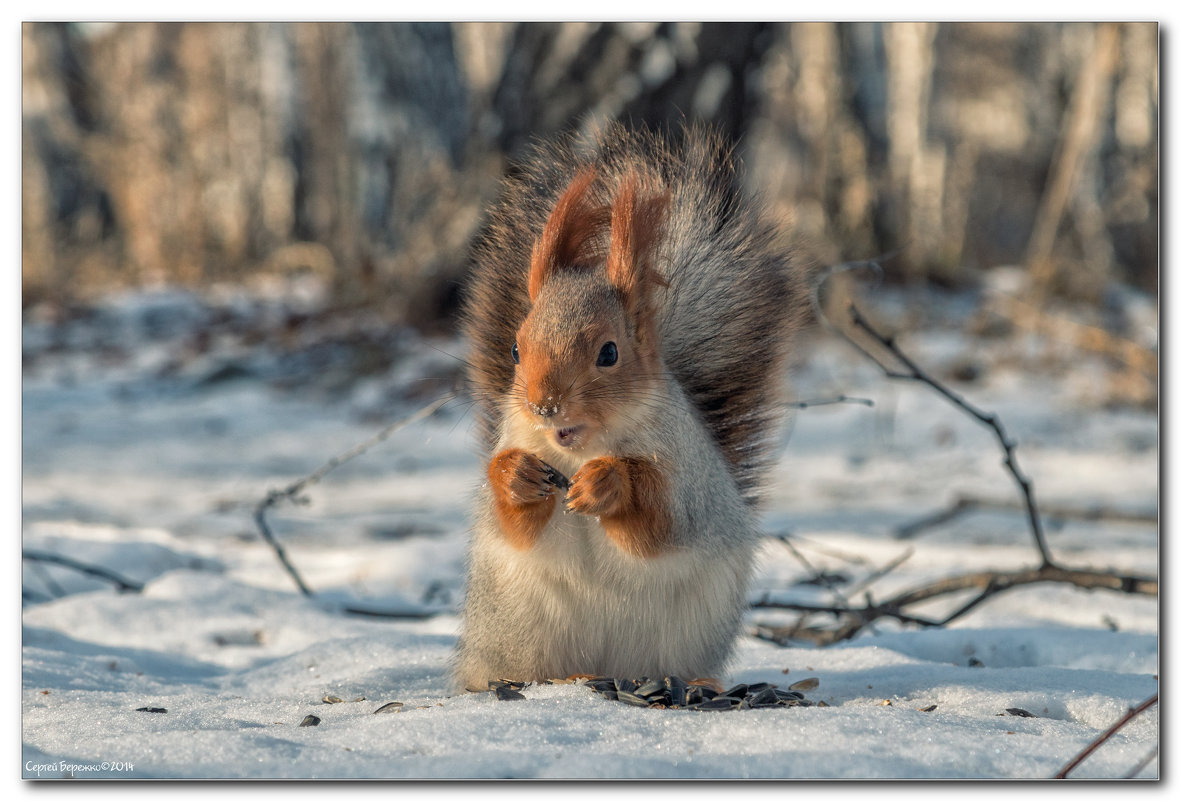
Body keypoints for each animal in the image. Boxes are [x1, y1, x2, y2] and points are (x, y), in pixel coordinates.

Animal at [453, 122, 811, 693]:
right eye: (515, 350)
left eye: (609, 353)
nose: (544, 406)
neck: (580, 449)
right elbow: (514, 523)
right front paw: (516, 476)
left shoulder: (687, 478)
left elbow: (662, 523)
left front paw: (610, 483)